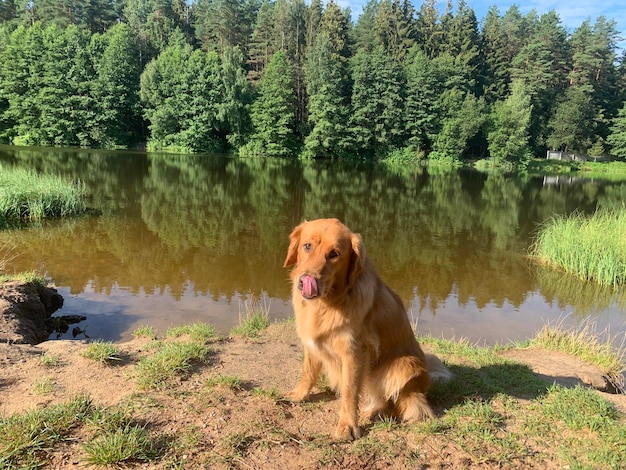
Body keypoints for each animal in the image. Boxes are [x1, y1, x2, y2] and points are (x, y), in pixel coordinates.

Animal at [282, 218, 448, 438]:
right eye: (307, 246)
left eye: (334, 254)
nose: (306, 281)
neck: (327, 303)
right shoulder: (312, 341)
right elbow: (308, 372)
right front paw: (299, 395)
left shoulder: (354, 351)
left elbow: (350, 392)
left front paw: (347, 425)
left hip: (403, 365)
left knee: (401, 402)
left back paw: (374, 410)